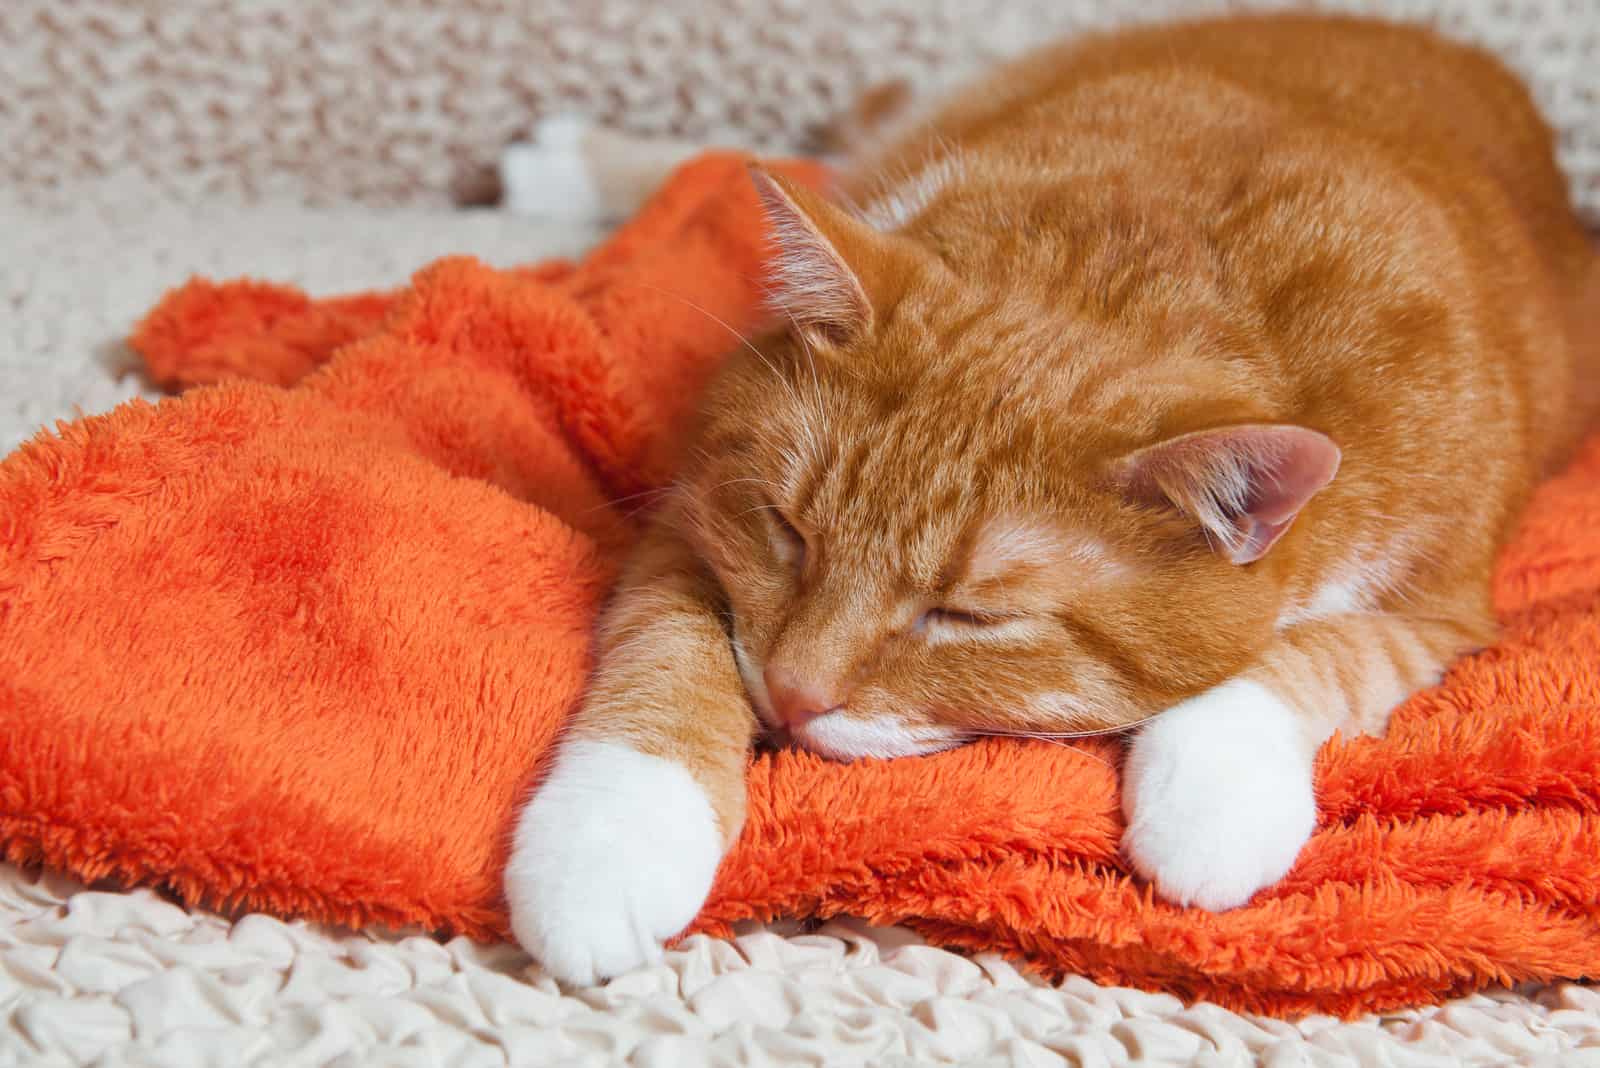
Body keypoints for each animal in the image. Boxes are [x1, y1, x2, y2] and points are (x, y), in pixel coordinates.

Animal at [499, 14, 1600, 984]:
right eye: (788, 533)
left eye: (966, 618)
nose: (791, 697)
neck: (1125, 279)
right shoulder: (692, 507)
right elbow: (666, 653)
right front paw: (605, 845)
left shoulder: (1440, 605)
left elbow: (1318, 652)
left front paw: (1213, 799)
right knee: (781, 156)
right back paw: (570, 163)